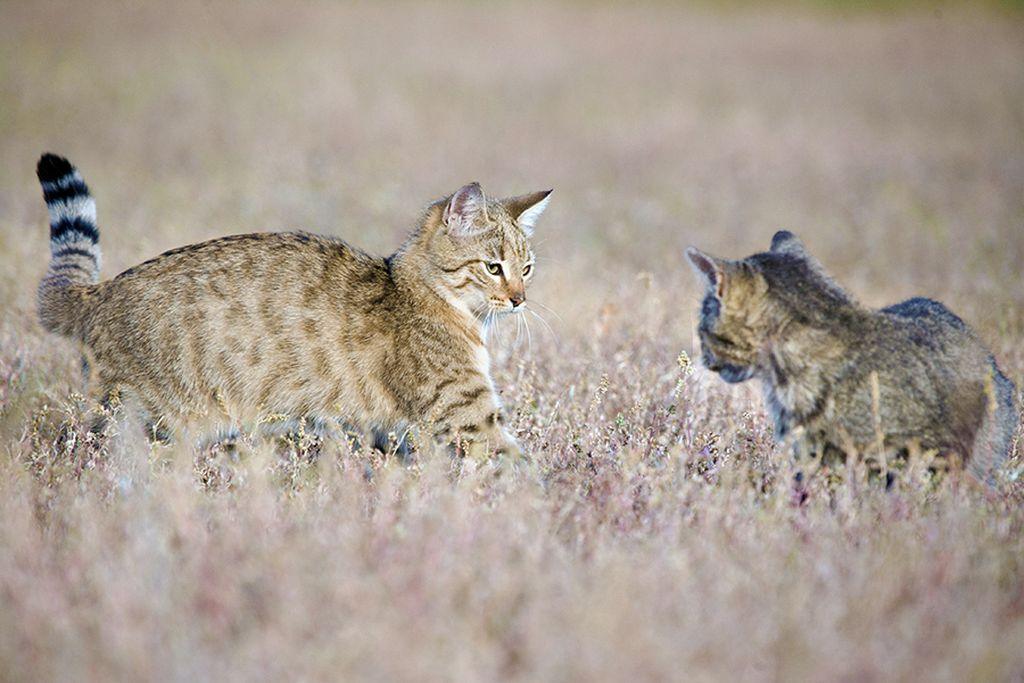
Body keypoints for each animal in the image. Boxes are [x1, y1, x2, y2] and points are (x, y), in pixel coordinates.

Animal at [37, 152, 552, 456]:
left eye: (527, 268)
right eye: (492, 266)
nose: (519, 300)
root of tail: (98, 292)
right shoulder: (470, 420)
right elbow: (520, 472)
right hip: (144, 422)